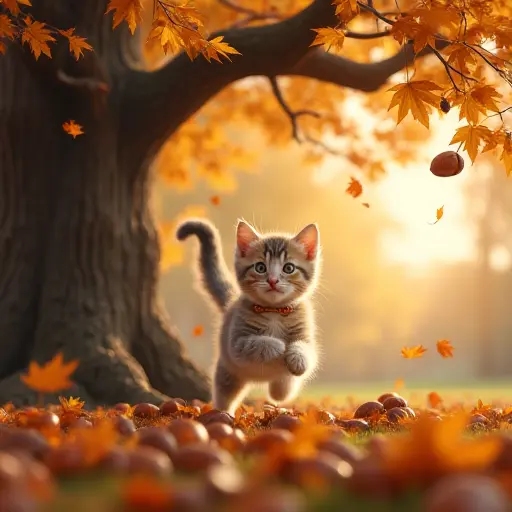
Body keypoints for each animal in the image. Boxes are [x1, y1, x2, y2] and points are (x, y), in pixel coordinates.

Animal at [176, 218, 320, 414]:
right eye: (260, 267)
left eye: (288, 268)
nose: (272, 280)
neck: (274, 311)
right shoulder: (236, 343)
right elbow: (256, 342)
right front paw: (277, 346)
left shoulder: (306, 337)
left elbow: (304, 350)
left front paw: (296, 361)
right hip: (227, 372)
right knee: (224, 394)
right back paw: (224, 414)